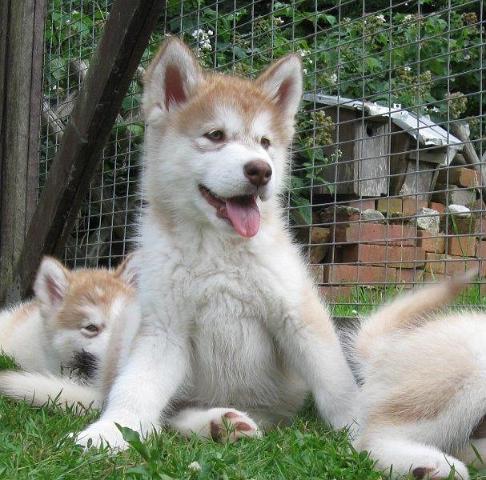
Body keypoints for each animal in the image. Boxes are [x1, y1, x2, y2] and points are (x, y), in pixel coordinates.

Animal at [74, 37, 358, 449]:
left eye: (265, 142)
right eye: (215, 136)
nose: (261, 171)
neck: (217, 250)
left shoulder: (298, 315)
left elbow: (337, 384)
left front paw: (363, 426)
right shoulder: (164, 330)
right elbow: (135, 388)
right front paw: (113, 428)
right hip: (134, 321)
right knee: (169, 417)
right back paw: (216, 422)